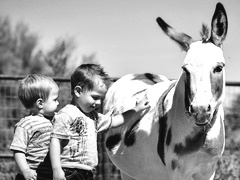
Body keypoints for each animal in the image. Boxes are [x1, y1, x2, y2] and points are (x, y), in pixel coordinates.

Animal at [102, 3, 227, 180]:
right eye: (185, 70)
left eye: (218, 68)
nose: (200, 110)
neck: (201, 136)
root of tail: (139, 73)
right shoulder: (176, 172)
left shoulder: (208, 170)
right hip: (127, 172)